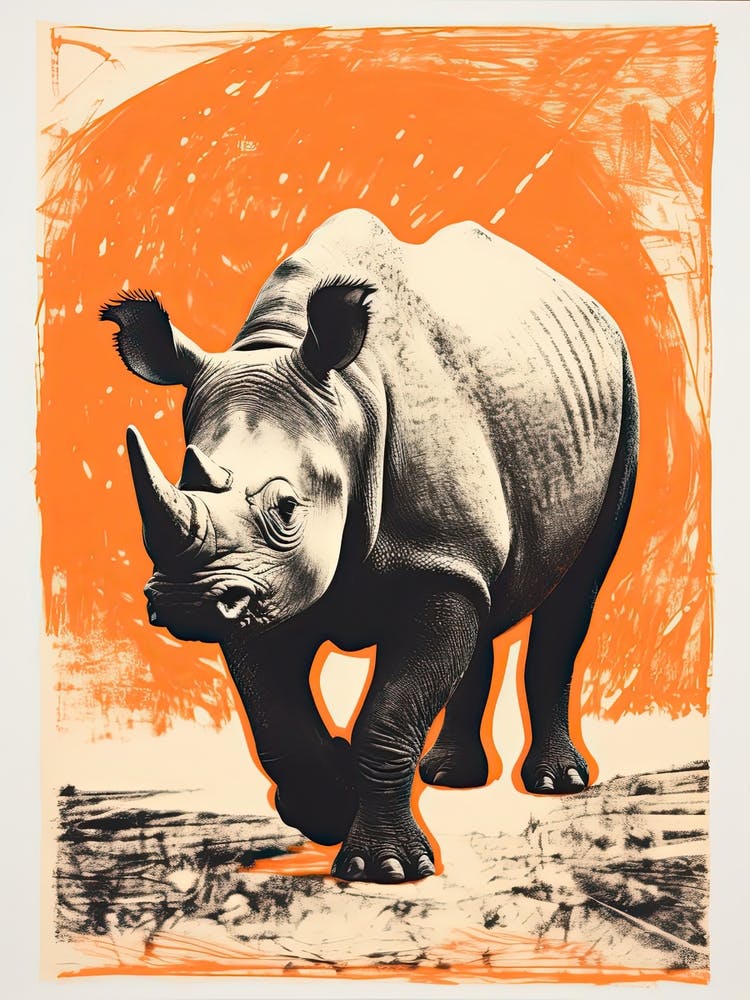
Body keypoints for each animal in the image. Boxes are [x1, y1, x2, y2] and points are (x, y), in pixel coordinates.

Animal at [101, 208, 638, 884]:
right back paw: (450, 777)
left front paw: (386, 869)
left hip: (623, 390)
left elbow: (386, 718)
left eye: (286, 508)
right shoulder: (259, 586)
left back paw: (555, 782)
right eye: (182, 480)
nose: (184, 602)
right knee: (485, 599)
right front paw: (328, 808)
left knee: (574, 593)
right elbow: (278, 725)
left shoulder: (423, 560)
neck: (348, 403)